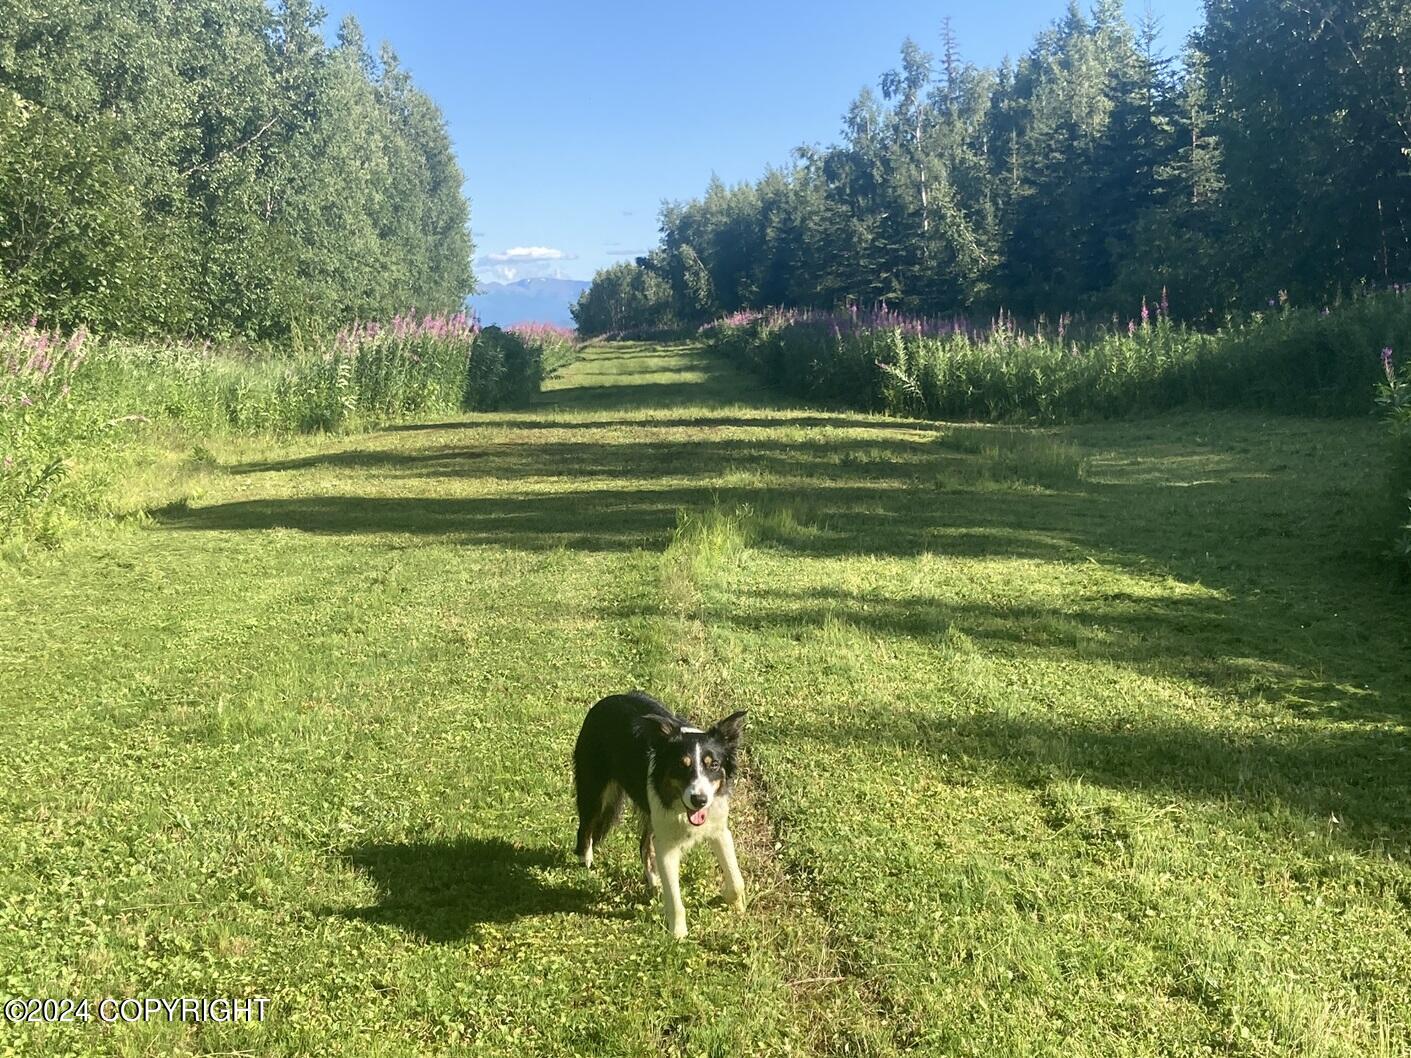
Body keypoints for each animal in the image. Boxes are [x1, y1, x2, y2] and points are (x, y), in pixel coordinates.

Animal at [572, 691, 750, 942]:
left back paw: (653, 882)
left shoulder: (718, 830)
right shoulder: (667, 845)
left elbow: (736, 880)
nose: (699, 800)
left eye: (714, 764)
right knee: (586, 826)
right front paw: (678, 936)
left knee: (643, 845)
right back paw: (586, 859)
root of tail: (607, 699)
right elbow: (675, 899)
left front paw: (737, 906)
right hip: (595, 791)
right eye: (682, 765)